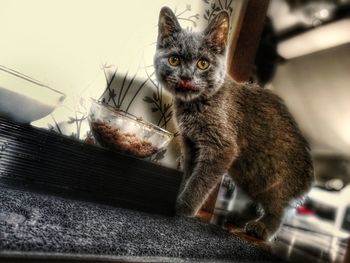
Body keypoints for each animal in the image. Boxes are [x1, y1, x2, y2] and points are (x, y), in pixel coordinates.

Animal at [154, 6, 314, 241]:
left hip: (272, 180)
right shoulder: (191, 145)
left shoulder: (222, 148)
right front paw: (179, 196)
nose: (186, 77)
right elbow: (189, 175)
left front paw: (182, 208)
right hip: (252, 178)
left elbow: (199, 181)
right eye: (174, 60)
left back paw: (261, 229)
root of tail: (309, 177)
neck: (195, 106)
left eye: (203, 64)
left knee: (279, 209)